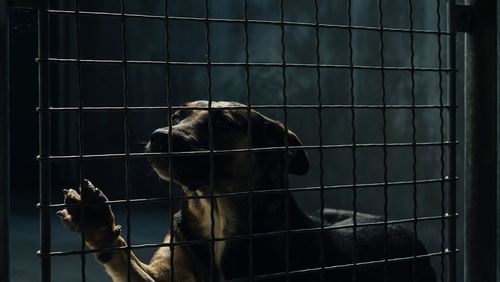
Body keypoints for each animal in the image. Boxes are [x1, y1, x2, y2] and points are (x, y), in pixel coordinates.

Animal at [56, 100, 436, 280]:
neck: (216, 212)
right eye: (177, 116)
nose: (159, 137)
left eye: (223, 124)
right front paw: (97, 223)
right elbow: (124, 258)